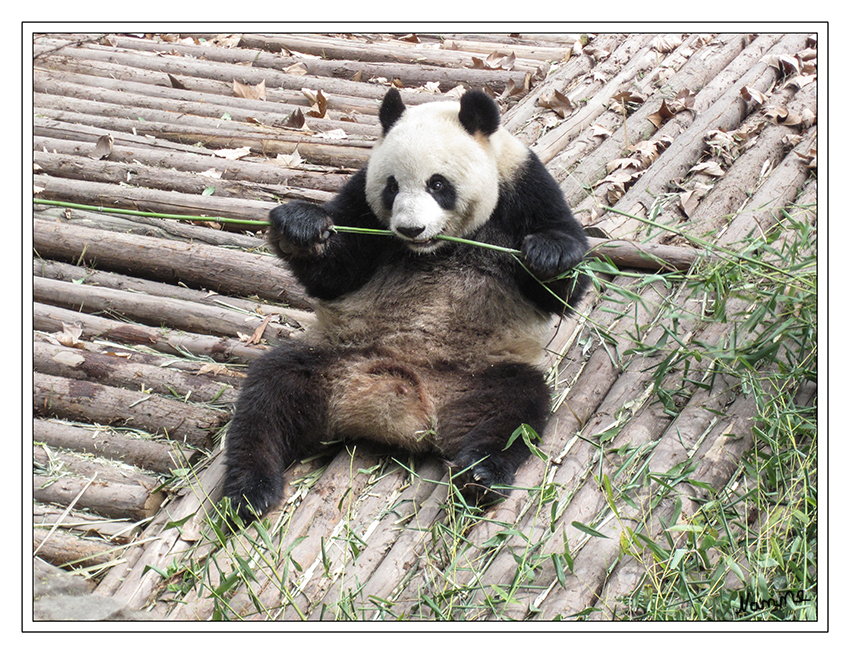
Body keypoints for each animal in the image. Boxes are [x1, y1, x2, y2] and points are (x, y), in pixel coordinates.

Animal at [222, 88, 588, 528]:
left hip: (483, 372)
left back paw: (480, 475)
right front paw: (301, 228)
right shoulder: (361, 200)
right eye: (392, 187)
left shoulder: (526, 189)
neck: (435, 249)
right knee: (269, 395)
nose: (410, 230)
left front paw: (549, 255)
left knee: (513, 408)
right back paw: (249, 491)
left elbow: (563, 287)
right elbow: (336, 271)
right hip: (333, 356)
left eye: (438, 184)